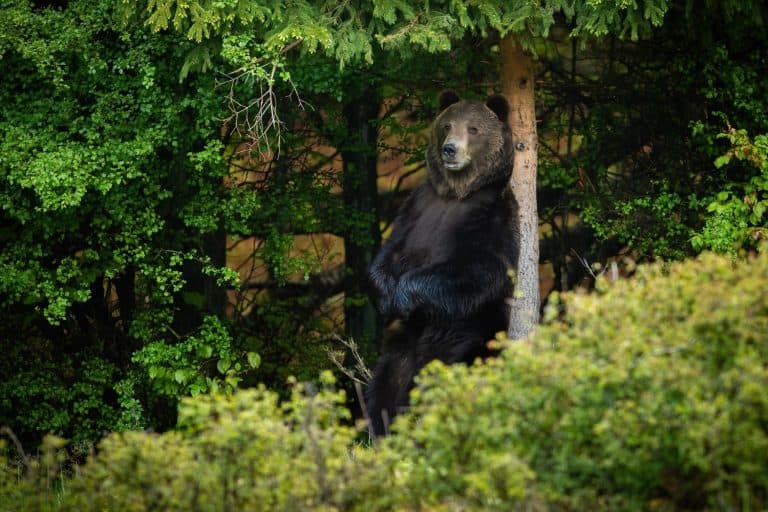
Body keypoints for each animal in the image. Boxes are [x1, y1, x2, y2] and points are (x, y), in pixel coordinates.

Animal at [366, 91, 520, 436]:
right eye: (447, 125)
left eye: (473, 128)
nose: (451, 148)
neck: (457, 193)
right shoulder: (418, 207)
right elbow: (387, 255)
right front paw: (388, 295)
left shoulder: (492, 214)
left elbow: (478, 269)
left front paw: (404, 295)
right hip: (403, 345)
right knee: (386, 384)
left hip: (471, 331)